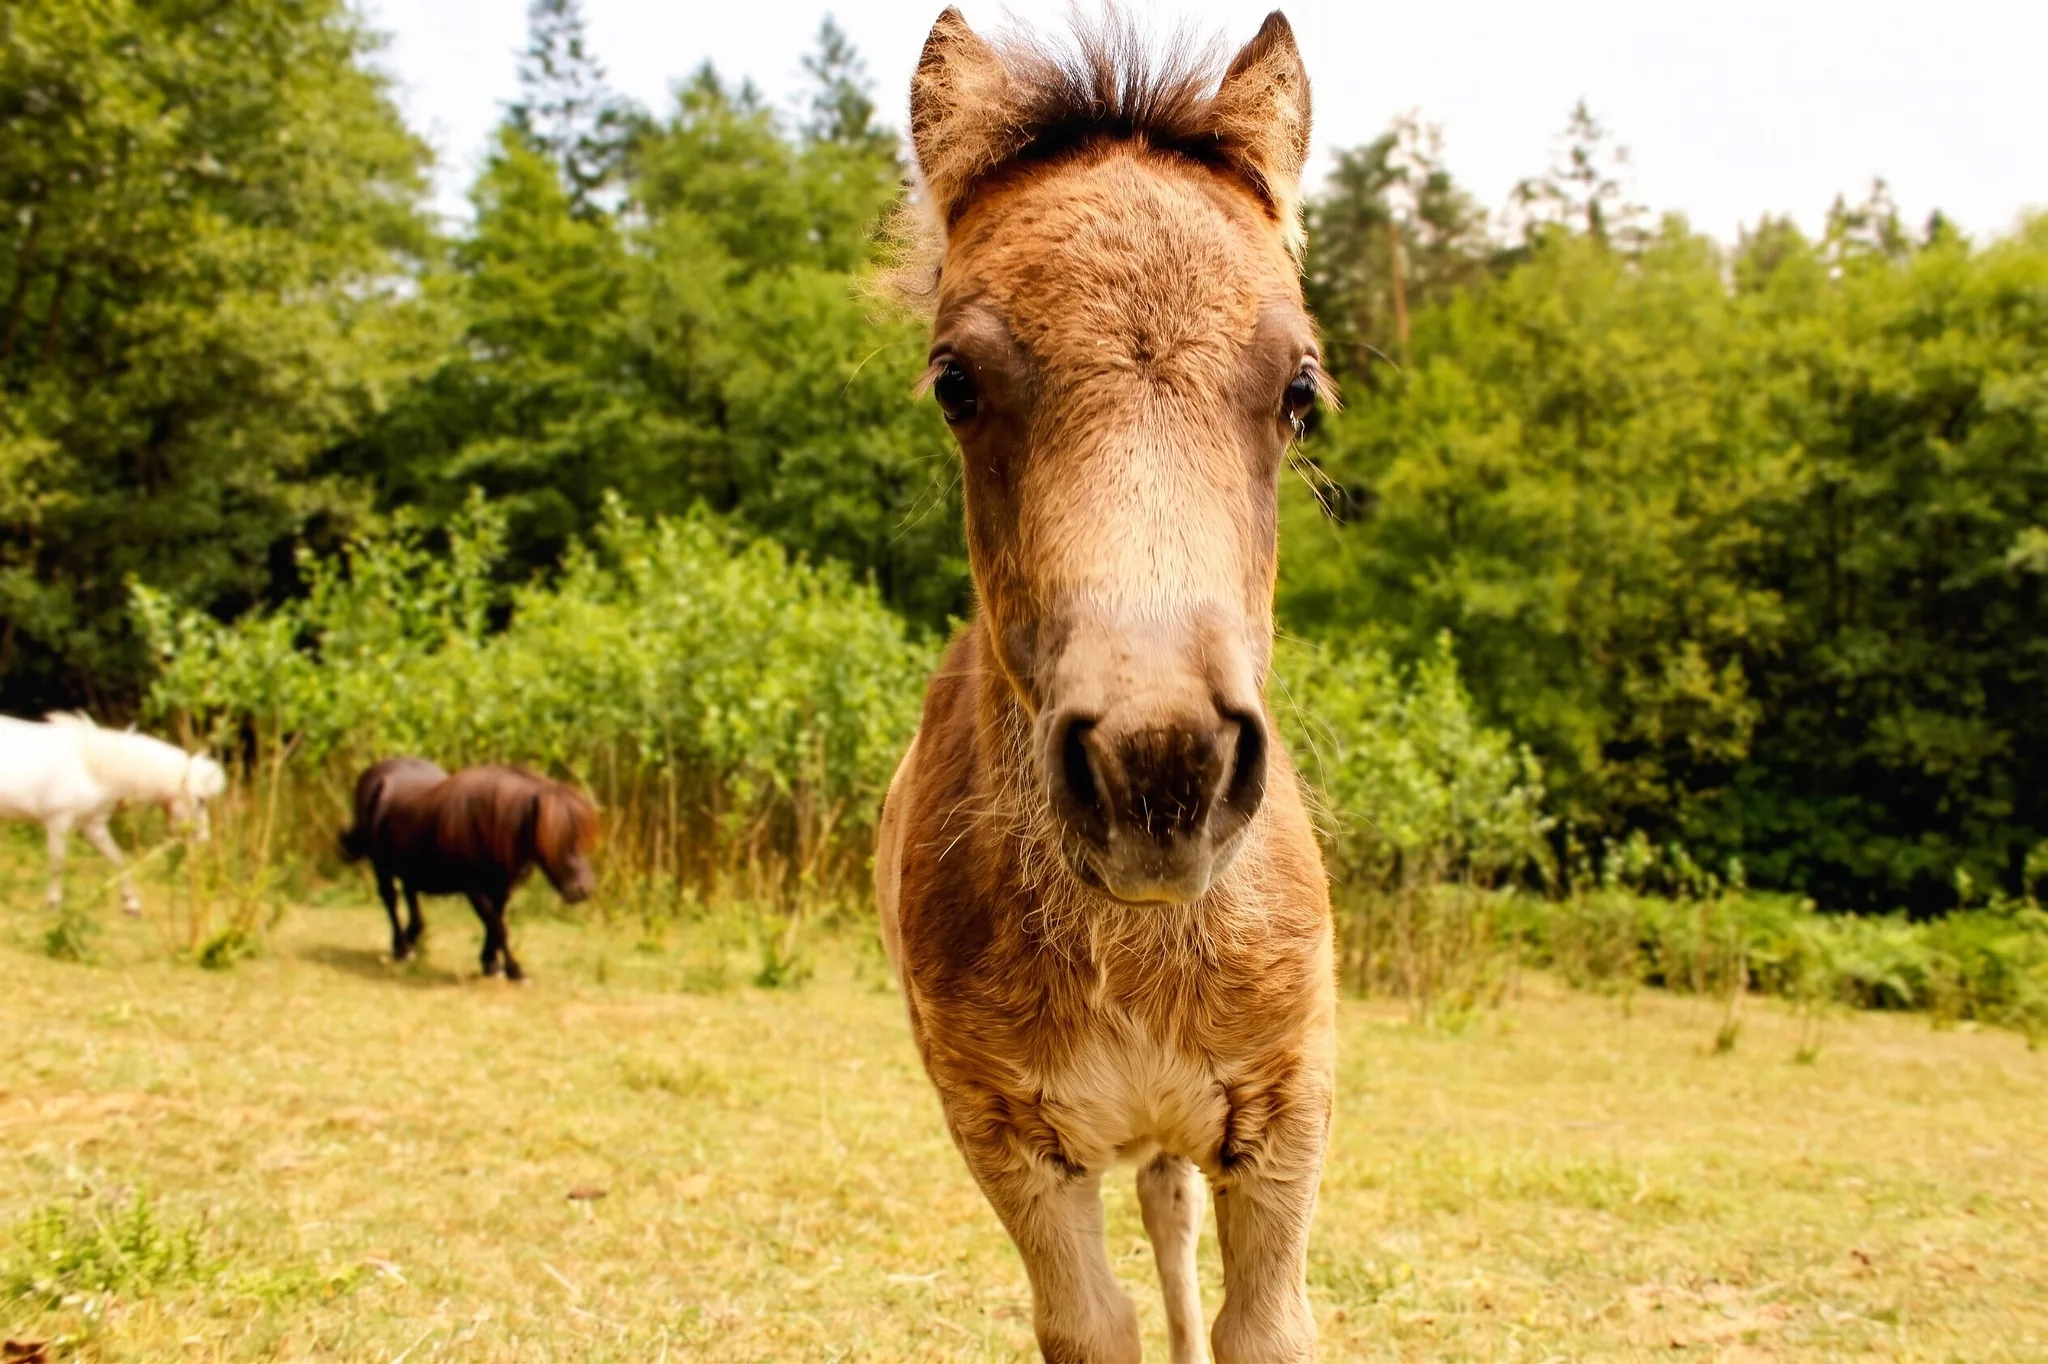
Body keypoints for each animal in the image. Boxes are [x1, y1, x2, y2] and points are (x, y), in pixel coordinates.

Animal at [0, 712, 228, 915]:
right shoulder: (59, 821)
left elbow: (117, 858)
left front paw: (131, 903)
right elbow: (58, 863)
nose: (203, 838)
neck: (91, 767)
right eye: (201, 800)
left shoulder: (93, 826)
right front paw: (53, 903)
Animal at [339, 758, 598, 981]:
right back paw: (402, 948)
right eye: (555, 840)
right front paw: (514, 970)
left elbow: (495, 923)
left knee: (410, 895)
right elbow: (497, 926)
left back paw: (412, 939)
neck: (489, 823)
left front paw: (490, 964)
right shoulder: (475, 889)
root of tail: (376, 773)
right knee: (391, 900)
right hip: (381, 865)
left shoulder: (501, 888)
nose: (583, 890)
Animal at [873, 11, 1335, 1362]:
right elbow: (1089, 1322)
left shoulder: (1288, 1108)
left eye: (1298, 390)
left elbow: (1256, 1325)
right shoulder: (1002, 1132)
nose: (1159, 765)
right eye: (955, 381)